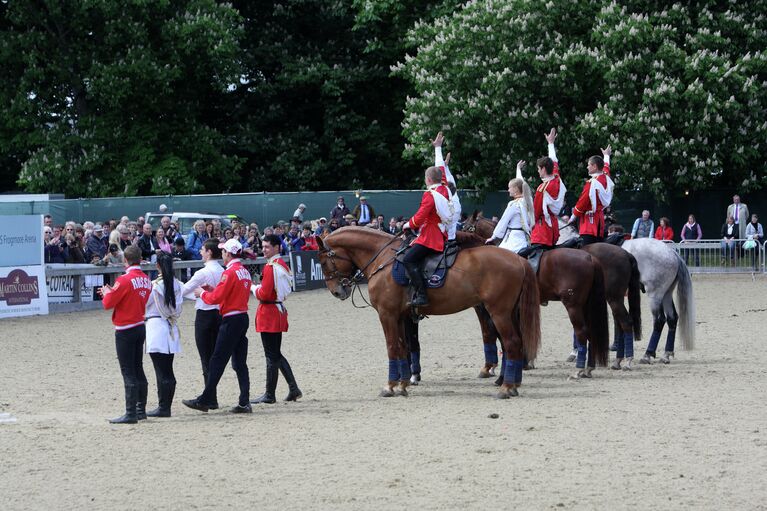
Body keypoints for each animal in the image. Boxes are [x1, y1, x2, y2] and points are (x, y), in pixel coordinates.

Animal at [316, 228, 544, 400]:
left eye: (324, 262)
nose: (337, 291)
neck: (384, 259)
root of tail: (518, 259)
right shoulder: (401, 316)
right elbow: (403, 348)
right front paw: (403, 383)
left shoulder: (387, 314)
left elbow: (392, 347)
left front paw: (390, 386)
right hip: (506, 312)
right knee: (513, 343)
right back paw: (511, 384)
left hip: (498, 313)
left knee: (511, 342)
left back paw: (506, 387)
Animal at [462, 214, 612, 378]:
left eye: (466, 227)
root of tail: (589, 257)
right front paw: (524, 362)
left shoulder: (484, 308)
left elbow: (489, 333)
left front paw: (491, 367)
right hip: (585, 304)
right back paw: (588, 367)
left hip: (573, 305)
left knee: (581, 331)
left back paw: (579, 368)